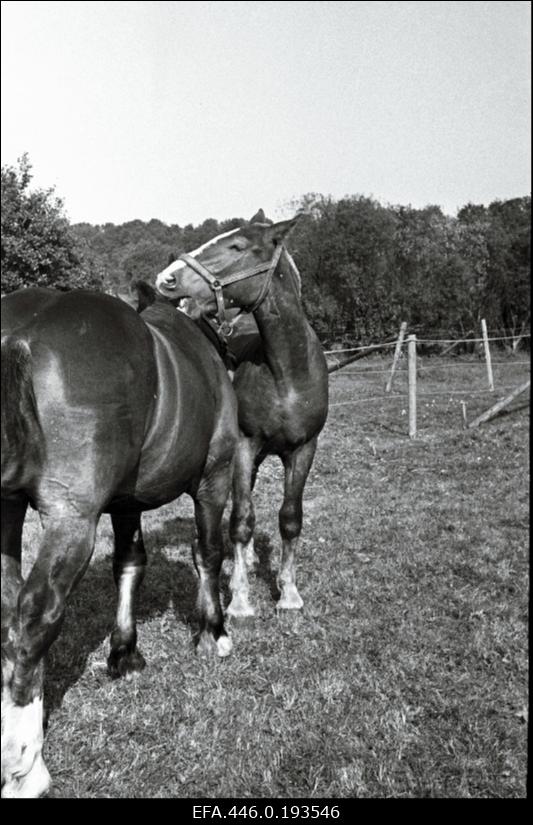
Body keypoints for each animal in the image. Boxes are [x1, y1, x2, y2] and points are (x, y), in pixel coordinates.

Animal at [0, 286, 237, 796]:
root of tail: (18, 331)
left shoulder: (127, 502)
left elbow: (129, 563)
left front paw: (124, 652)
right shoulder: (216, 475)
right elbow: (208, 552)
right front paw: (214, 632)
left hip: (6, 507)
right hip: (72, 517)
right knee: (35, 615)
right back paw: (25, 766)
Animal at [155, 212, 328, 616]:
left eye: (237, 247)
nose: (166, 279)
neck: (288, 373)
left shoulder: (305, 449)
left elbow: (290, 518)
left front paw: (289, 594)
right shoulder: (245, 446)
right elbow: (241, 521)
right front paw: (240, 599)